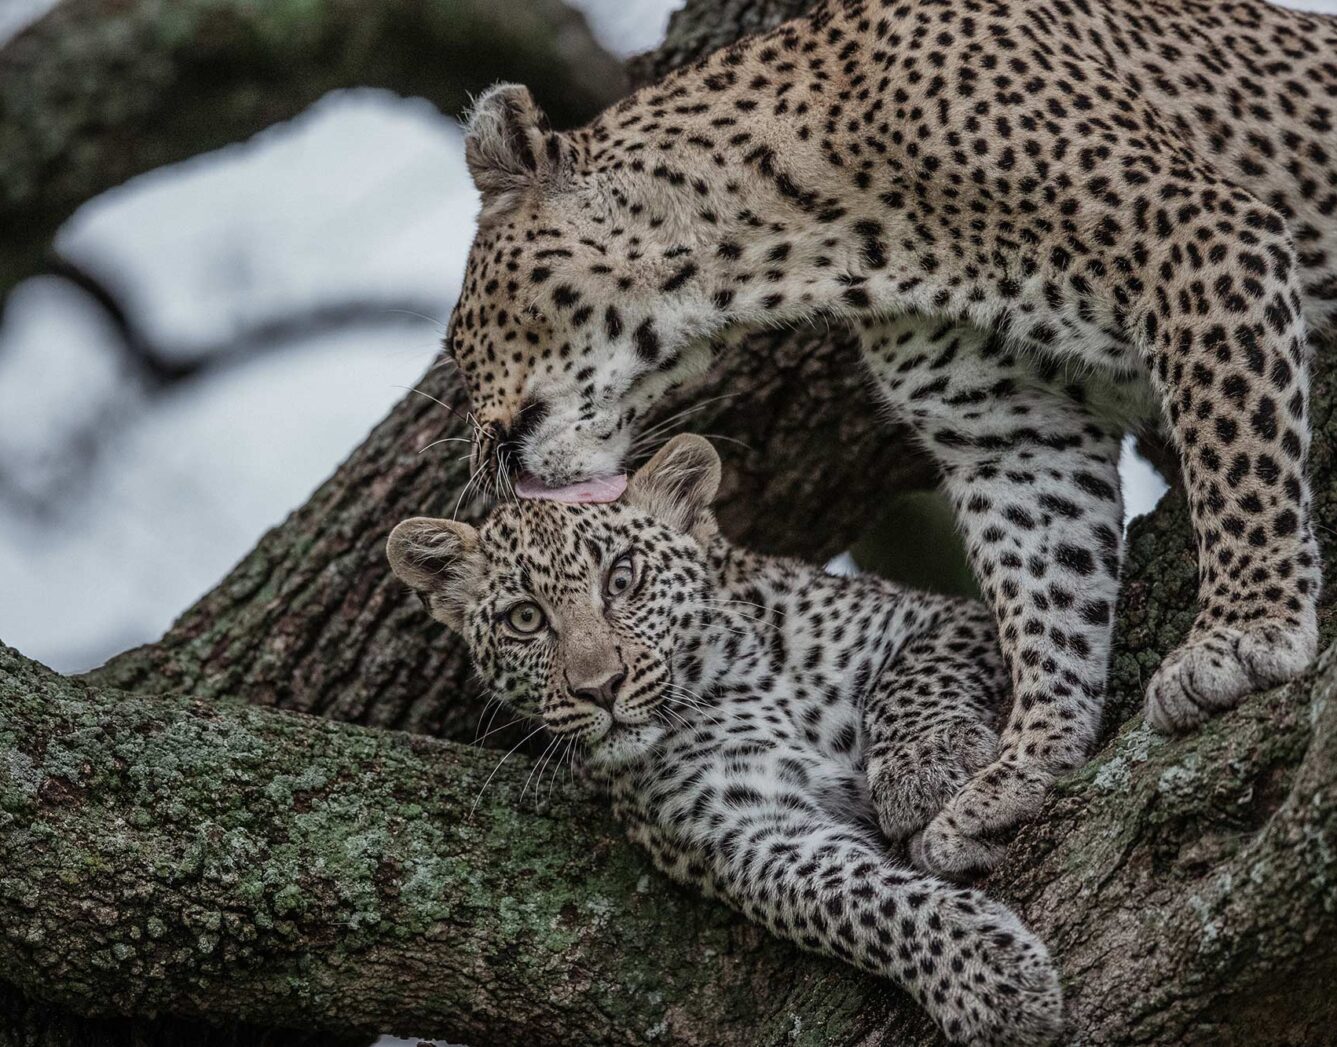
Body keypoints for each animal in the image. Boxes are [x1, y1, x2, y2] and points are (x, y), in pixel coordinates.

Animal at [443, 0, 1331, 877]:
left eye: (456, 342)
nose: (480, 461)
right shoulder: (1007, 430)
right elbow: (1047, 598)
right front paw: (1023, 764)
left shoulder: (1197, 236)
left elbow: (1236, 454)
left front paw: (1241, 634)